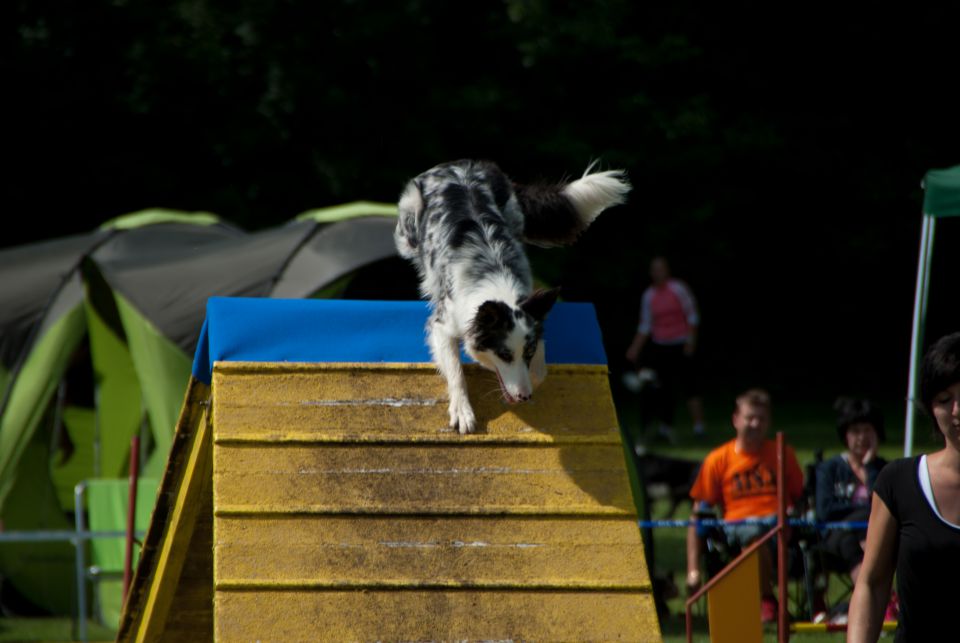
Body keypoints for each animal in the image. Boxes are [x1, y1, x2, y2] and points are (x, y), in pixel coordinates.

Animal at [396, 158, 632, 436]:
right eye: (504, 355)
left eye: (526, 352)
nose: (523, 397)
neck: (496, 284)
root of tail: (461, 163)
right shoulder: (443, 325)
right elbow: (455, 370)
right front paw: (462, 412)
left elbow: (539, 370)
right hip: (408, 221)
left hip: (513, 214)